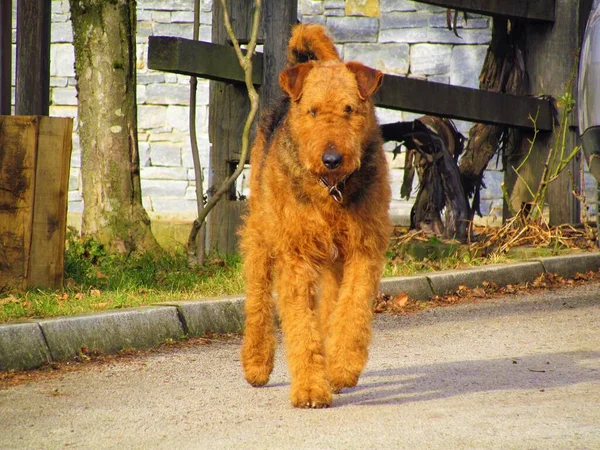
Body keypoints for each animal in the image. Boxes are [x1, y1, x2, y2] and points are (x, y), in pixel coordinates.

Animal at [239, 23, 394, 408]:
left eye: (349, 109)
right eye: (312, 111)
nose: (332, 160)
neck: (331, 191)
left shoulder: (363, 251)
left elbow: (351, 311)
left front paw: (341, 368)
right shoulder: (297, 257)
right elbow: (301, 326)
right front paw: (310, 389)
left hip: (333, 261)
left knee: (331, 309)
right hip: (263, 234)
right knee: (258, 300)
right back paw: (256, 363)